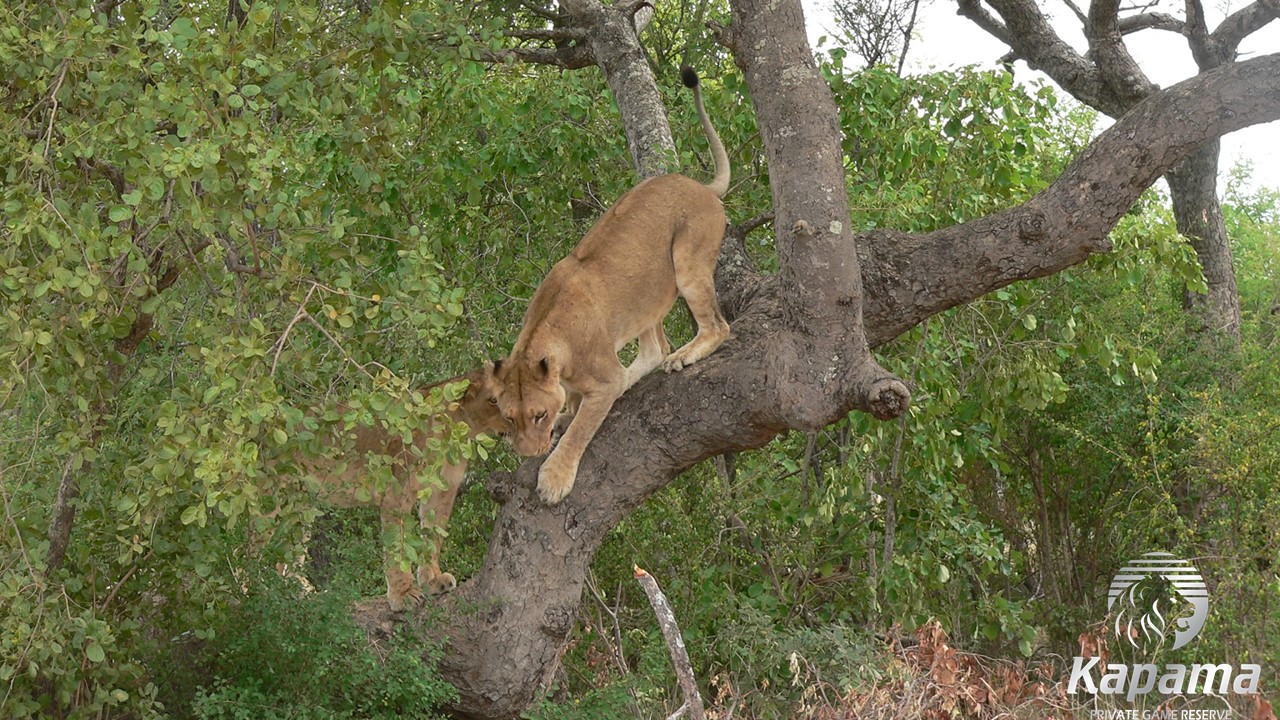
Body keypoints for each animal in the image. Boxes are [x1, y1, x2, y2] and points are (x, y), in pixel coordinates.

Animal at [295, 368, 508, 611]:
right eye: (493, 400)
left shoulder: (442, 490)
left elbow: (433, 537)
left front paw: (434, 581)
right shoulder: (396, 492)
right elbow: (398, 546)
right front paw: (403, 595)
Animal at [488, 66, 731, 505]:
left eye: (538, 415)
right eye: (509, 418)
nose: (529, 452)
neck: (546, 335)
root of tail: (700, 186)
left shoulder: (601, 378)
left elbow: (582, 429)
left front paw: (554, 476)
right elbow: (577, 406)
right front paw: (567, 415)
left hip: (688, 263)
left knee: (716, 327)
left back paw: (684, 357)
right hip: (648, 293)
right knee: (653, 348)